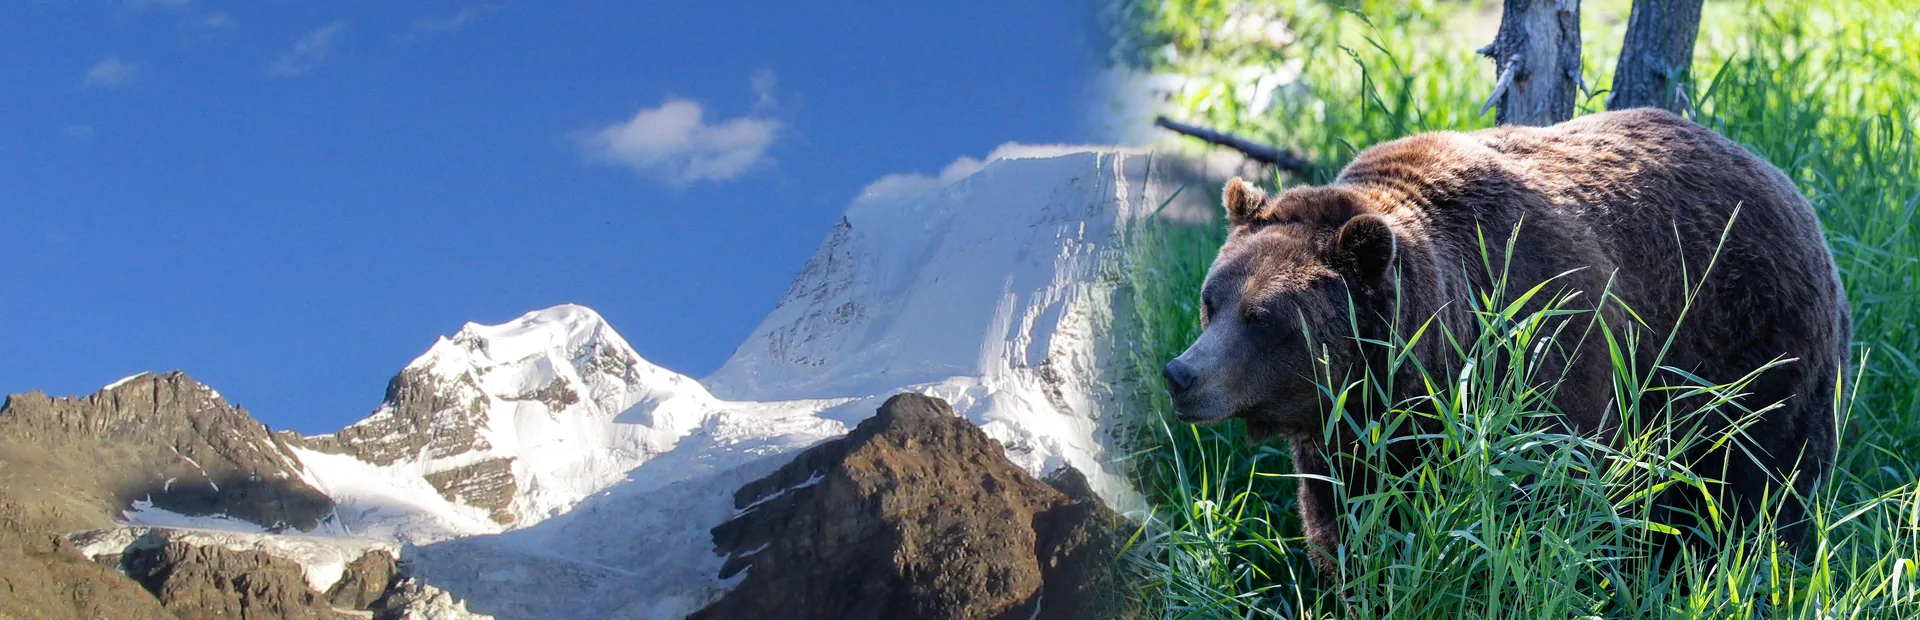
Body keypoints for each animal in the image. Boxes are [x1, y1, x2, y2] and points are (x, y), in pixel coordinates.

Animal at [1160, 107, 1849, 579]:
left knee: (1758, 486)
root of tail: (1784, 180)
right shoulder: (1349, 438)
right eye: (1212, 301)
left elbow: (1539, 506)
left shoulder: (1544, 356)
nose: (1181, 374)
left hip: (1752, 350)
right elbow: (1345, 524)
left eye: (1262, 316)